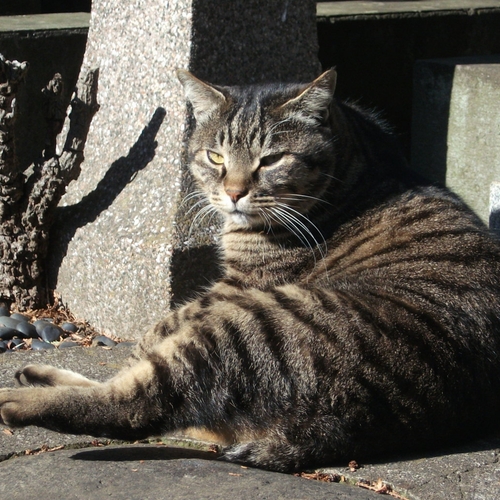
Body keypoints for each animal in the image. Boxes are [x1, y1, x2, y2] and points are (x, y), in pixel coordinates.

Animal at [0, 70, 500, 472]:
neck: (357, 160)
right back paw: (40, 375)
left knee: (138, 406)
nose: (235, 192)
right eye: (216, 157)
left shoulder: (233, 288)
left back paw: (20, 399)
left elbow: (158, 330)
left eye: (272, 159)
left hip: (245, 327)